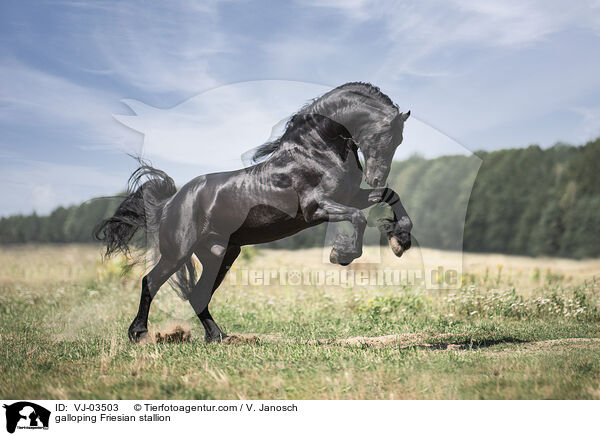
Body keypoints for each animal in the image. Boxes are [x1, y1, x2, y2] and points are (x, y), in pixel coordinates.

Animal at [96, 80, 412, 342]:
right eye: (384, 136)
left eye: (399, 140)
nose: (375, 177)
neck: (316, 150)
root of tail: (171, 203)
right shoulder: (316, 208)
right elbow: (358, 217)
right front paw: (342, 254)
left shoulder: (351, 196)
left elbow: (390, 196)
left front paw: (400, 241)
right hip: (179, 252)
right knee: (151, 282)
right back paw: (138, 334)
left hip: (220, 254)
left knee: (198, 295)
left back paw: (218, 337)